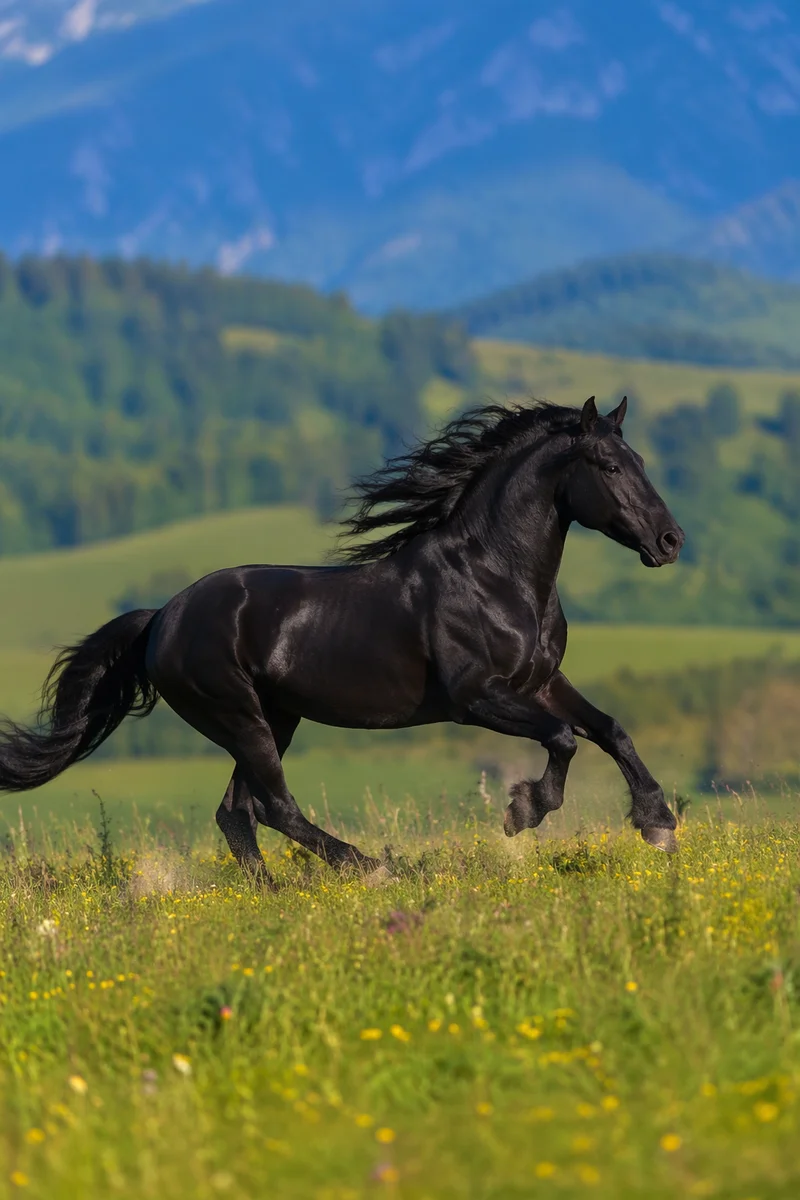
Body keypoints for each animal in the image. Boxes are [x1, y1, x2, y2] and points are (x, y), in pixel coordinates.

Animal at [0, 396, 684, 885]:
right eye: (608, 466)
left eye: (643, 463)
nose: (671, 541)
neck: (494, 575)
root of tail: (163, 615)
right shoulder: (477, 699)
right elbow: (564, 738)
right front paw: (523, 810)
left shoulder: (541, 682)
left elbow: (610, 728)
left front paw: (658, 824)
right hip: (238, 715)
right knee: (274, 806)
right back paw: (370, 868)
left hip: (274, 717)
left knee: (238, 812)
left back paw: (271, 893)